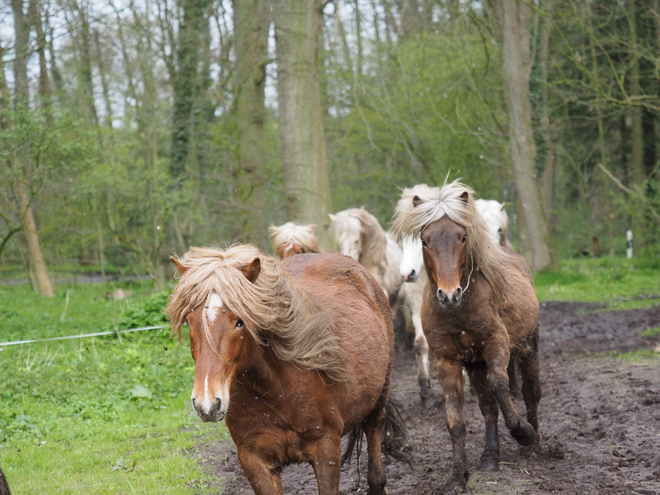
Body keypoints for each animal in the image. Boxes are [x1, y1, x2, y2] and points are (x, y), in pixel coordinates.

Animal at [165, 246, 402, 494]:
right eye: (188, 321)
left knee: (374, 427)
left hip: (379, 394)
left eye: (240, 321)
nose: (207, 404)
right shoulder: (254, 460)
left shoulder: (326, 449)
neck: (276, 390)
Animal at [390, 183, 540, 495]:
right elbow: (455, 418)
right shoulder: (445, 360)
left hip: (528, 347)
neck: (457, 312)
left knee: (531, 393)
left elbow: (500, 385)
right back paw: (490, 457)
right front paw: (459, 475)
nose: (449, 294)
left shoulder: (496, 344)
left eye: (462, 237)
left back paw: (534, 442)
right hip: (476, 365)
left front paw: (523, 433)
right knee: (488, 407)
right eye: (425, 240)